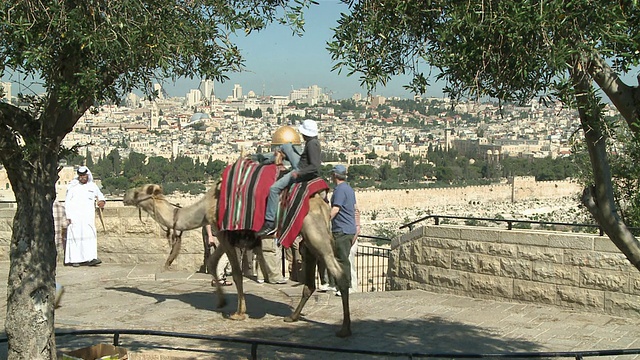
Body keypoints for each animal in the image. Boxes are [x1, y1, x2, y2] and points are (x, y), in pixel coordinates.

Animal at [122, 183, 352, 338]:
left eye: (139, 192)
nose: (125, 195)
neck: (204, 209)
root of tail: (323, 206)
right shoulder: (221, 236)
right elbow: (213, 263)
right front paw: (221, 301)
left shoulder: (225, 235)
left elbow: (237, 273)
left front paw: (239, 313)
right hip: (308, 238)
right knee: (311, 281)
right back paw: (293, 317)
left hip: (316, 234)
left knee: (339, 272)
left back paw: (344, 328)